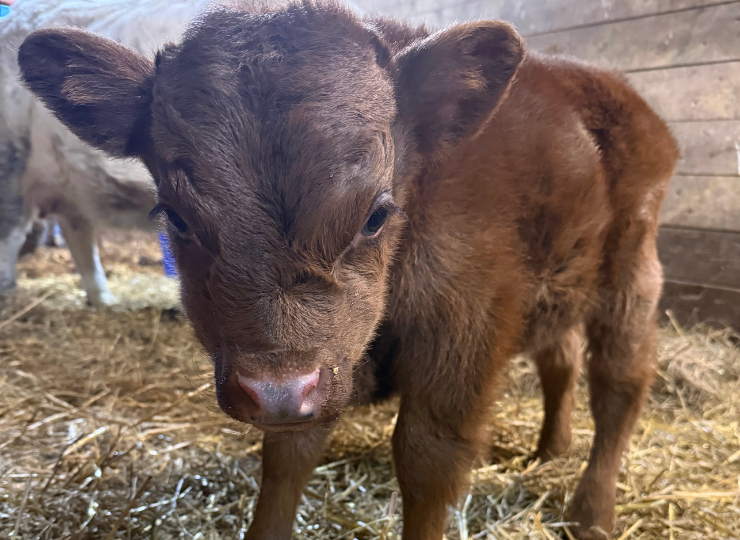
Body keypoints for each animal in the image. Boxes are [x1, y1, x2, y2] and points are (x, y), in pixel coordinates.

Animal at [17, 2, 679, 538]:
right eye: (176, 217)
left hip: (632, 277)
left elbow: (427, 460)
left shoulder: (461, 339)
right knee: (560, 358)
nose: (279, 389)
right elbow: (287, 458)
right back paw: (548, 450)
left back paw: (592, 512)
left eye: (376, 214)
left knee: (619, 384)